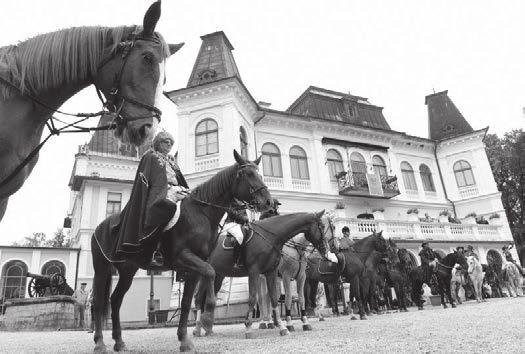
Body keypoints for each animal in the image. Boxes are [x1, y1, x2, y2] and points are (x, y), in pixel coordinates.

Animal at [89, 151, 270, 352]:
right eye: (248, 174)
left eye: (259, 173)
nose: (268, 201)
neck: (200, 214)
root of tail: (100, 227)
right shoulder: (183, 258)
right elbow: (210, 273)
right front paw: (207, 318)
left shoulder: (194, 267)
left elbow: (186, 302)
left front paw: (184, 339)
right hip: (102, 269)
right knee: (98, 302)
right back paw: (99, 343)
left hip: (127, 272)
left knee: (115, 300)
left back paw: (119, 342)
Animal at [192, 212, 328, 338]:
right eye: (322, 226)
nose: (326, 250)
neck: (270, 237)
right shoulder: (256, 272)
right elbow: (253, 298)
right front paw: (248, 328)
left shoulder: (272, 272)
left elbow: (274, 298)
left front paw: (282, 327)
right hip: (204, 275)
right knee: (198, 298)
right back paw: (198, 329)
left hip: (217, 277)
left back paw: (207, 328)